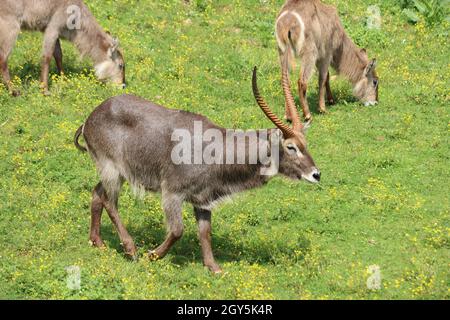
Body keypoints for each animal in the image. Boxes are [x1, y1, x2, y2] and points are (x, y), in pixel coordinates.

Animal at [74, 67, 320, 272]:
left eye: (305, 143)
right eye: (291, 147)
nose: (316, 174)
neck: (218, 150)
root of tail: (91, 117)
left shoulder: (203, 200)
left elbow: (205, 232)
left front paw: (214, 268)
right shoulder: (172, 193)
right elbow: (177, 230)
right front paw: (152, 255)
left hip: (115, 173)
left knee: (97, 193)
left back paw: (97, 242)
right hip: (112, 170)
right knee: (110, 202)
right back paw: (131, 248)